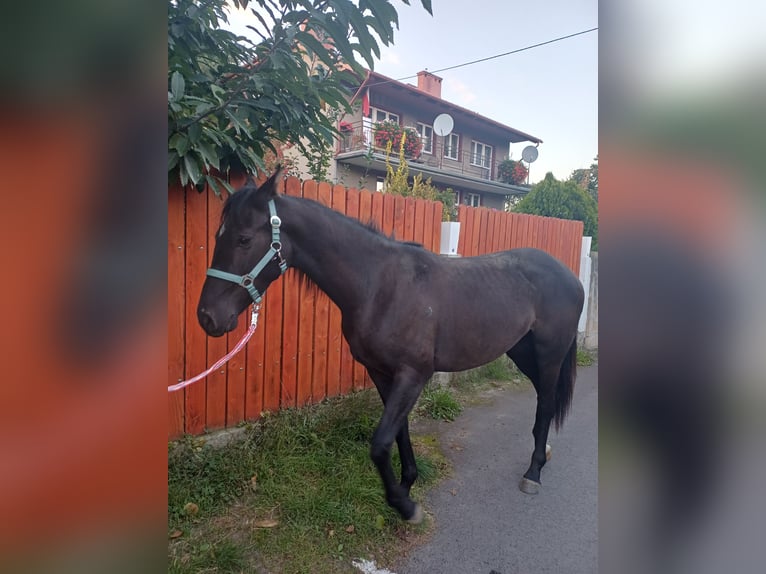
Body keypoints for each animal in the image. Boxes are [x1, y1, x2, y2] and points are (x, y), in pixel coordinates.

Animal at [197, 170, 585, 523]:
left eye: (244, 239)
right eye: (218, 236)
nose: (207, 317)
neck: (380, 286)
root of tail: (571, 275)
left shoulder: (413, 375)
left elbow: (380, 443)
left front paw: (404, 505)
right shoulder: (382, 373)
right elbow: (399, 432)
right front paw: (407, 484)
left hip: (549, 355)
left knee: (546, 405)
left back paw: (533, 473)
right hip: (521, 352)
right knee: (542, 400)